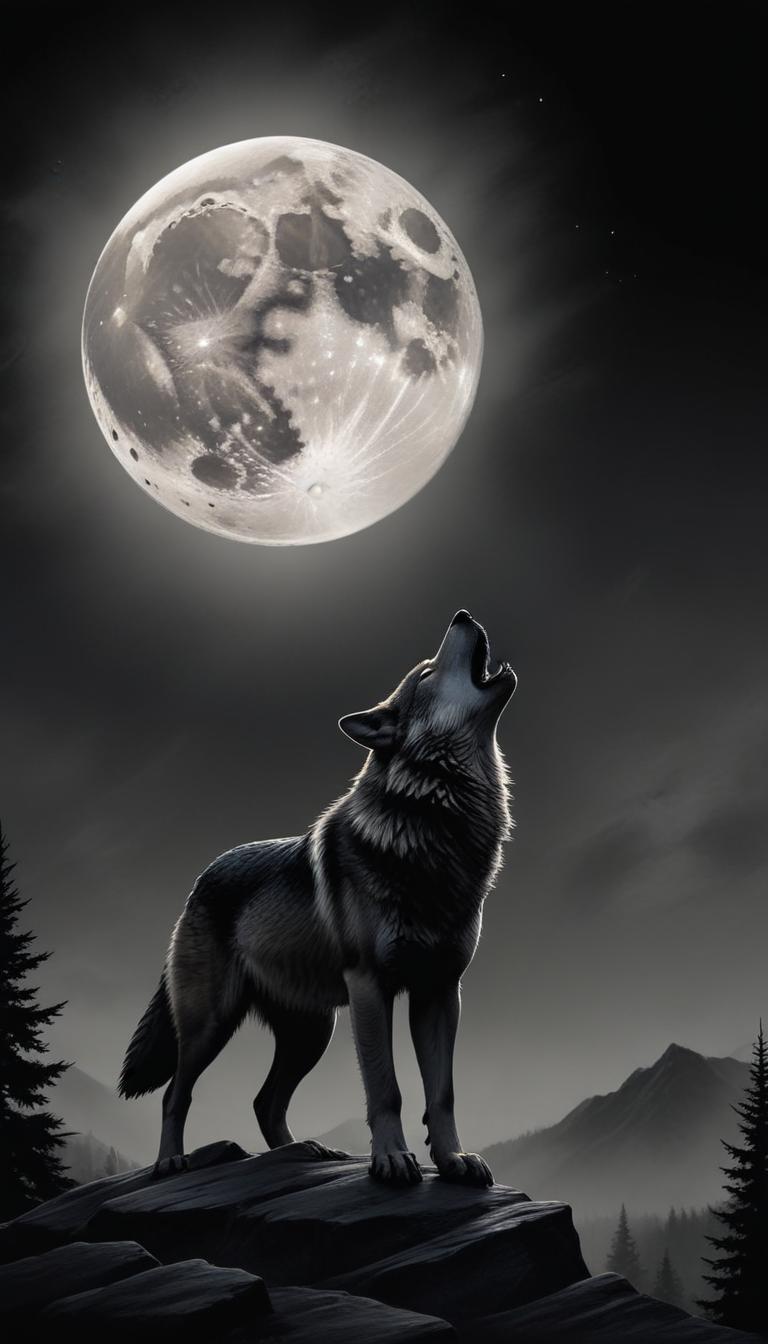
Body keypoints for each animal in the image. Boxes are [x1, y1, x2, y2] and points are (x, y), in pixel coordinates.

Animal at [120, 610, 516, 1186]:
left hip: (312, 1033)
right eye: (425, 672)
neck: (434, 827)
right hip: (211, 1026)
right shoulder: (371, 987)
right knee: (176, 1092)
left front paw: (453, 1161)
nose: (462, 615)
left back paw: (304, 1152)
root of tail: (200, 879)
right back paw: (172, 1161)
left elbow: (441, 1093)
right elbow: (387, 1088)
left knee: (265, 1101)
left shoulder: (440, 991)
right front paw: (392, 1160)